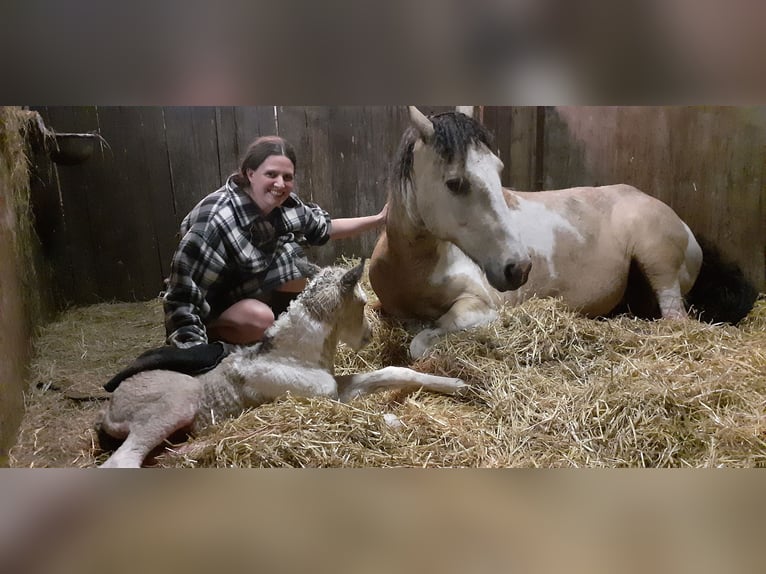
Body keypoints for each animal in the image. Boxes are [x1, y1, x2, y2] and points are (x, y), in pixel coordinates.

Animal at [96, 259, 466, 468]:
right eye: (362, 302)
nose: (369, 336)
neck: (294, 356)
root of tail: (110, 407)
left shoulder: (333, 389)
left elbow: (392, 371)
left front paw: (458, 385)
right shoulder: (317, 401)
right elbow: (359, 414)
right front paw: (393, 421)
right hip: (175, 403)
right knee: (123, 462)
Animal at [370, 106, 712, 358]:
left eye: (498, 171)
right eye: (454, 183)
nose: (518, 268)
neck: (414, 268)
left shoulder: (480, 307)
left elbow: (420, 343)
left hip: (658, 265)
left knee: (674, 317)